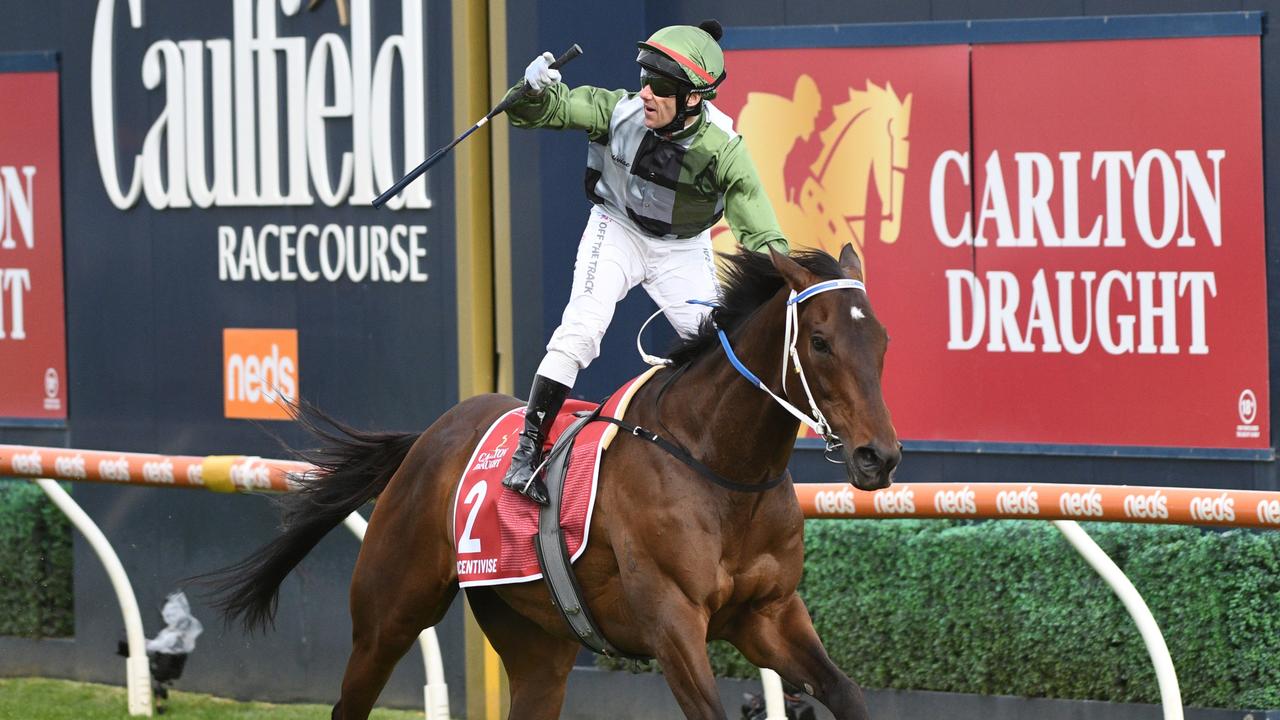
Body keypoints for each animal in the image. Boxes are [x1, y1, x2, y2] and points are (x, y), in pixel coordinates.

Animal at [202, 242, 901, 717]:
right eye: (819, 341)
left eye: (884, 340)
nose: (880, 457)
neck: (721, 468)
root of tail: (429, 437)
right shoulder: (673, 619)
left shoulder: (768, 614)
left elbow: (847, 691)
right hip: (388, 615)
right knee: (354, 695)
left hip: (536, 640)